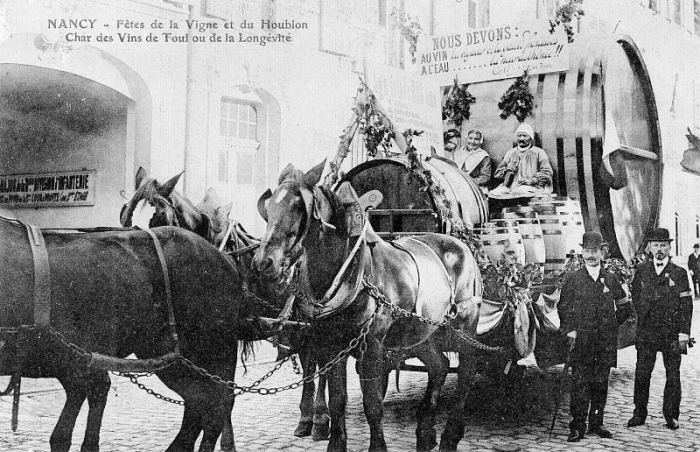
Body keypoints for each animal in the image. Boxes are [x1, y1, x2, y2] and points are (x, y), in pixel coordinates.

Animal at [0, 216, 256, 452]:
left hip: (211, 350)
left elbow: (65, 430)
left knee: (218, 405)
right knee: (198, 404)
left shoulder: (75, 362)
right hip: (173, 357)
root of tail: (225, 259)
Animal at [120, 168, 334, 444]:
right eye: (125, 217)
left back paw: (319, 419)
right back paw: (306, 418)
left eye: (159, 217)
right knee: (309, 359)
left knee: (324, 364)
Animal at [252, 162, 486, 452]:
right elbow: (337, 401)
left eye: (298, 206)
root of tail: (462, 244)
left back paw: (450, 435)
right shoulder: (331, 344)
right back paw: (425, 432)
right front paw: (334, 441)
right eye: (269, 207)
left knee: (466, 370)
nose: (263, 262)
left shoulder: (371, 345)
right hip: (419, 333)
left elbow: (372, 404)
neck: (352, 272)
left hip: (464, 326)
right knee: (439, 366)